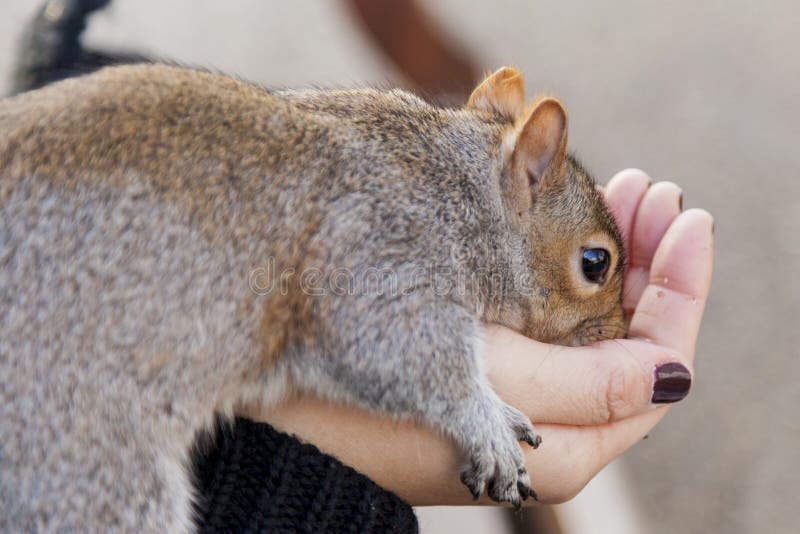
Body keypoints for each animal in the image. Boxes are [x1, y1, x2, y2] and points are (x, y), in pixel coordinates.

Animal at [0, 64, 625, 531]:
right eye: (595, 262)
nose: (618, 330)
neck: (453, 182)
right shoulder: (379, 252)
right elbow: (396, 349)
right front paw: (489, 419)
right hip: (78, 459)